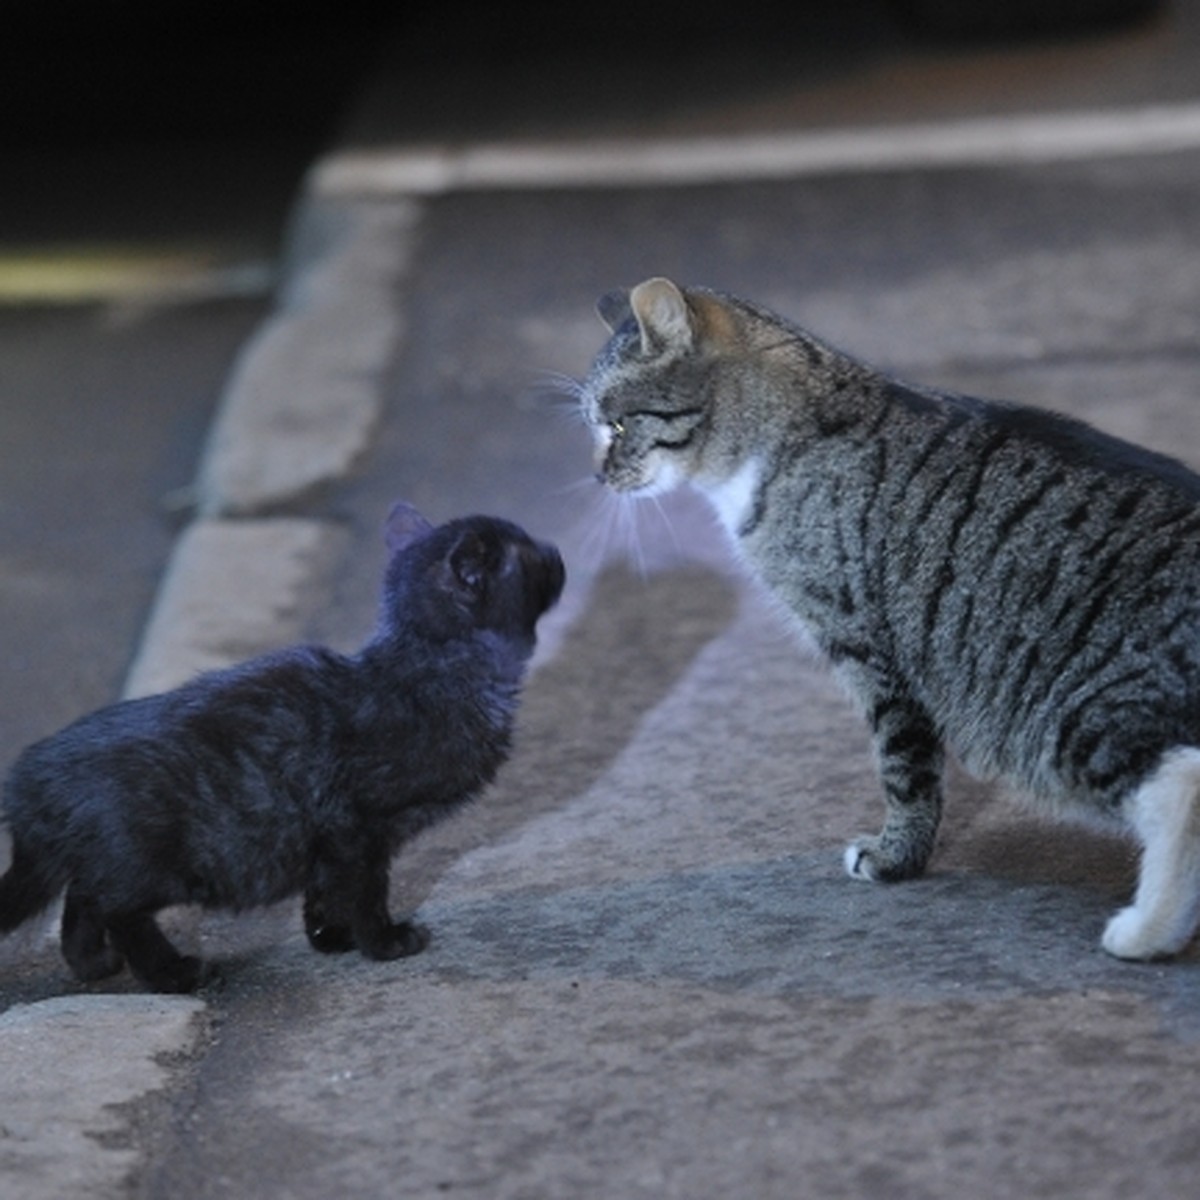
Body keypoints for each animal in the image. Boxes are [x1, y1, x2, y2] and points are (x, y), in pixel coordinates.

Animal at [578, 276, 1200, 960]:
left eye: (616, 424)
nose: (598, 476)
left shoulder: (866, 649)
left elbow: (905, 770)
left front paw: (895, 858)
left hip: (1067, 715)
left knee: (1181, 788)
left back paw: (1144, 932)